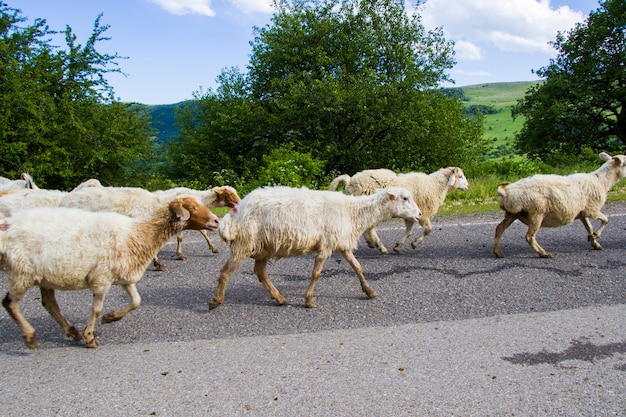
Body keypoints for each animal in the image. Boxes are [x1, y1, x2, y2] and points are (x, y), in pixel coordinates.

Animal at [208, 185, 420, 308]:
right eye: (405, 198)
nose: (419, 214)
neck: (353, 212)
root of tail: (235, 214)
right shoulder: (326, 244)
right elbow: (316, 273)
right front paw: (309, 300)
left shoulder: (341, 243)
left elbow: (357, 267)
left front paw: (369, 291)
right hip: (243, 244)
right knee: (225, 272)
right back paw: (216, 301)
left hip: (263, 247)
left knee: (260, 272)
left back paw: (279, 298)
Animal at [330, 167, 466, 252]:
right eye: (460, 176)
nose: (467, 186)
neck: (435, 185)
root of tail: (350, 182)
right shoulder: (423, 214)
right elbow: (428, 230)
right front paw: (415, 243)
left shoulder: (412, 215)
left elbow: (409, 231)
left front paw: (398, 246)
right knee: (370, 229)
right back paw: (379, 246)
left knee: (366, 228)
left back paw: (372, 243)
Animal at [492, 152, 624, 256]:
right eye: (625, 163)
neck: (601, 180)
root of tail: (506, 192)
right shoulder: (592, 210)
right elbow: (606, 220)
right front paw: (596, 235)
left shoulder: (582, 212)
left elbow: (589, 227)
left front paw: (594, 241)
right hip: (536, 212)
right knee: (529, 237)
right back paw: (544, 253)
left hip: (512, 213)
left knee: (499, 228)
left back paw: (498, 252)